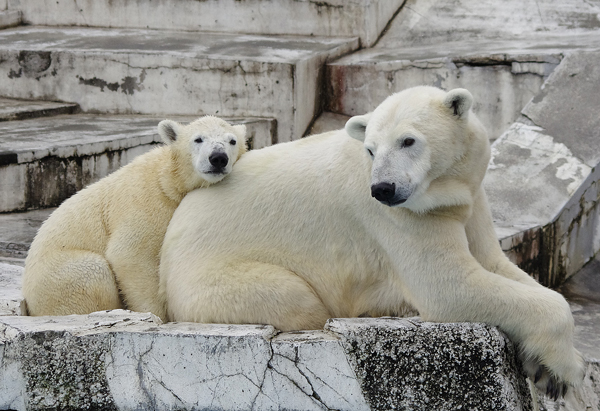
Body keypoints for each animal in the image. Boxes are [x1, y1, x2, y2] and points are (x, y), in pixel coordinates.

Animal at [21, 116, 246, 322]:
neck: (169, 182)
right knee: (93, 271)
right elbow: (129, 254)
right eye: (198, 139)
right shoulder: (144, 201)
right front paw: (157, 316)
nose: (218, 158)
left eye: (232, 141)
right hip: (59, 278)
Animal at [159, 87, 580, 396]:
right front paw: (559, 373)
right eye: (372, 149)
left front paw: (545, 365)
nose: (383, 188)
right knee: (295, 298)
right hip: (215, 278)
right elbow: (449, 286)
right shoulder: (398, 218)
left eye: (408, 140)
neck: (441, 192)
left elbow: (494, 263)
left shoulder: (467, 199)